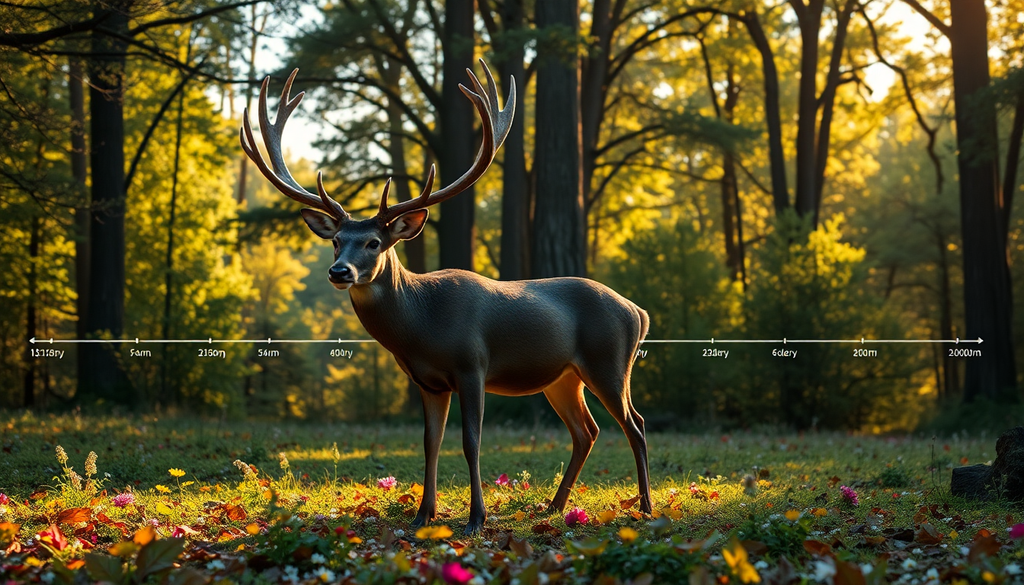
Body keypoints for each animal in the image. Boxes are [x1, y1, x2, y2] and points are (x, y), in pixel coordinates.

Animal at [240, 60, 653, 534]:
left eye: (374, 243)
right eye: (337, 241)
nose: (339, 271)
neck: (422, 327)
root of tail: (639, 312)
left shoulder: (472, 364)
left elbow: (470, 441)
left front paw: (476, 519)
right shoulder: (427, 381)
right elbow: (430, 442)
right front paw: (424, 514)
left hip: (609, 361)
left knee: (635, 424)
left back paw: (644, 506)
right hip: (563, 377)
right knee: (587, 430)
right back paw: (553, 506)